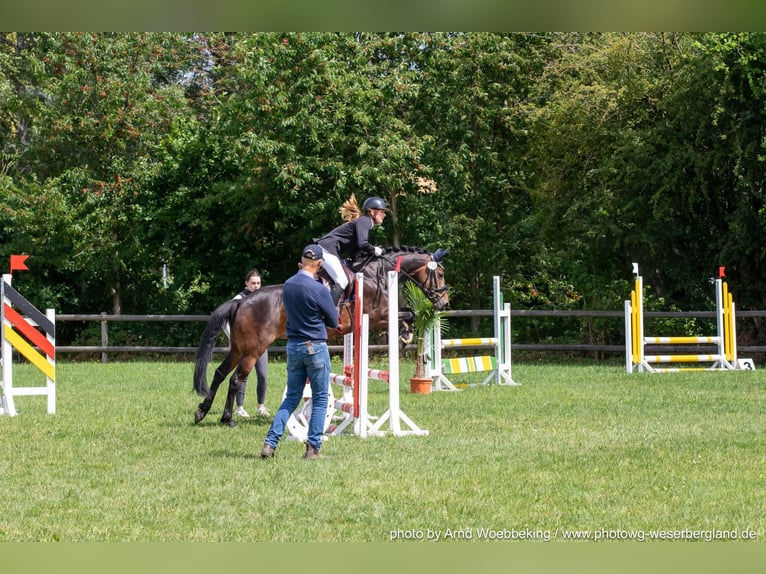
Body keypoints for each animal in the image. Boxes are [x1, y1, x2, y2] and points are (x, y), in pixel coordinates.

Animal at [191, 246, 450, 428]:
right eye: (439, 273)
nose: (444, 303)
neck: (375, 274)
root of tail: (241, 301)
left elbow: (409, 313)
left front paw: (403, 337)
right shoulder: (379, 316)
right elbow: (410, 313)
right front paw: (403, 337)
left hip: (239, 349)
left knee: (220, 373)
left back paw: (202, 411)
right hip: (253, 350)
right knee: (236, 380)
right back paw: (228, 419)